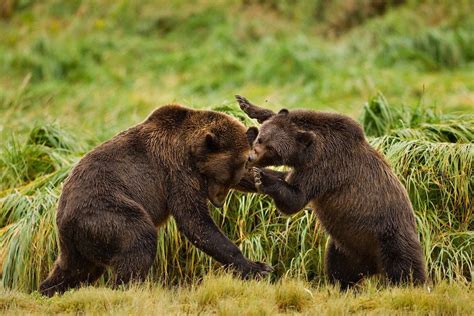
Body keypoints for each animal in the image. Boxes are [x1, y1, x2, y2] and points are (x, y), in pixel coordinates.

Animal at [39, 105, 272, 298]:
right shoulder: (176, 170)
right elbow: (194, 220)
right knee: (139, 238)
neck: (192, 151)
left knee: (75, 269)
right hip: (105, 212)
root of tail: (61, 216)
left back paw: (46, 289)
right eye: (220, 178)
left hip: (82, 241)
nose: (218, 201)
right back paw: (126, 287)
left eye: (232, 179)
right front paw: (258, 267)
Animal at [235, 95, 428, 288]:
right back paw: (342, 286)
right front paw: (248, 106)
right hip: (347, 247)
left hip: (390, 236)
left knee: (404, 269)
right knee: (338, 270)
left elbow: (295, 199)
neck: (310, 152)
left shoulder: (325, 169)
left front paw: (263, 178)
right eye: (261, 139)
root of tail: (374, 266)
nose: (251, 157)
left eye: (272, 148)